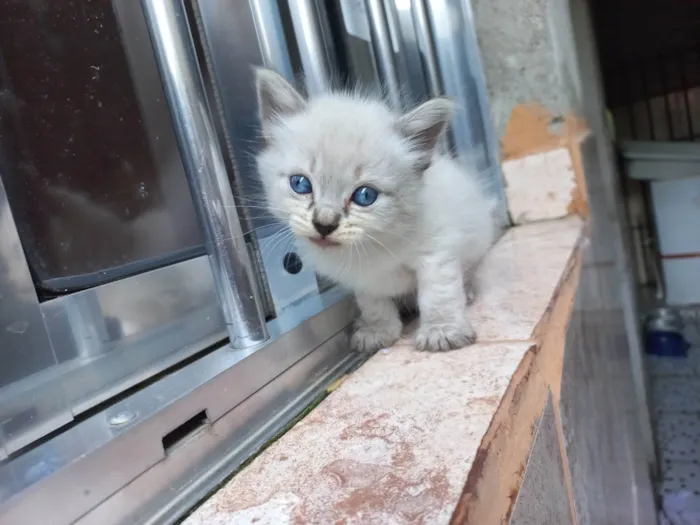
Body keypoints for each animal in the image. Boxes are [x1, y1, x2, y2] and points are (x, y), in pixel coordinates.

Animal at [254, 66, 500, 352]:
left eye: (365, 196)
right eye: (300, 184)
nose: (324, 224)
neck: (373, 245)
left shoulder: (437, 250)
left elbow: (438, 293)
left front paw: (442, 330)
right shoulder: (361, 278)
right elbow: (373, 304)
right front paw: (379, 331)